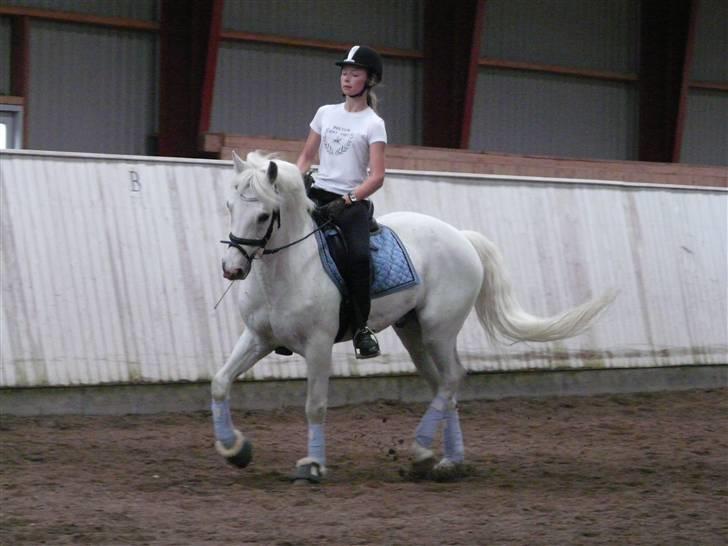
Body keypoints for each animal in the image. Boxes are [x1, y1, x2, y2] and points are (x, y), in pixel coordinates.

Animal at [212, 150, 615, 482]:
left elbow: (315, 406)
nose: (232, 269)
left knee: (452, 378)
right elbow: (220, 381)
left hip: (439, 329)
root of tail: (462, 238)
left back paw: (423, 451)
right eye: (229, 206)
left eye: (263, 215)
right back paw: (448, 462)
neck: (289, 268)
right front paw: (236, 450)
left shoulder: (318, 345)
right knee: (442, 386)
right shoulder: (259, 337)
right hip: (413, 333)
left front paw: (311, 466)